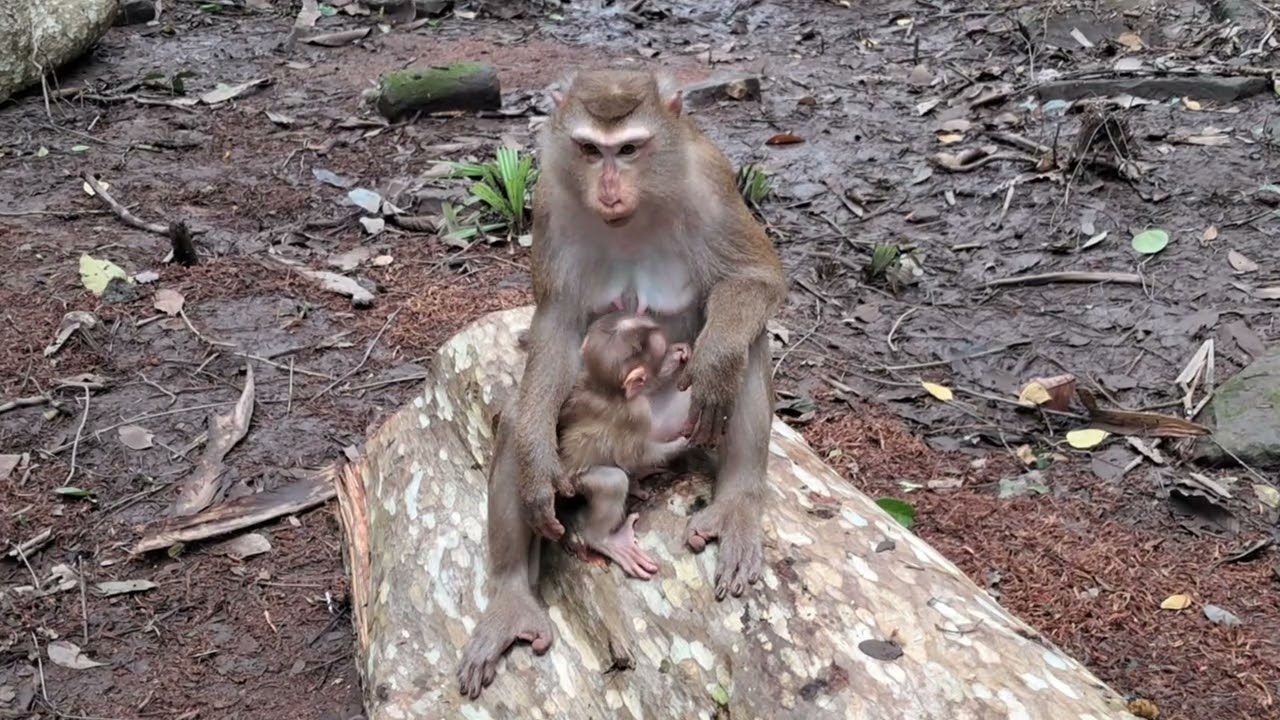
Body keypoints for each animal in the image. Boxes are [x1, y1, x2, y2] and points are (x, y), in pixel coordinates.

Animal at [555, 311, 692, 580]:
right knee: (614, 480)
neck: (607, 389)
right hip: (577, 482)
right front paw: (685, 441)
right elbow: (635, 453)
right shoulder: (636, 412)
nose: (676, 350)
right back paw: (604, 540)